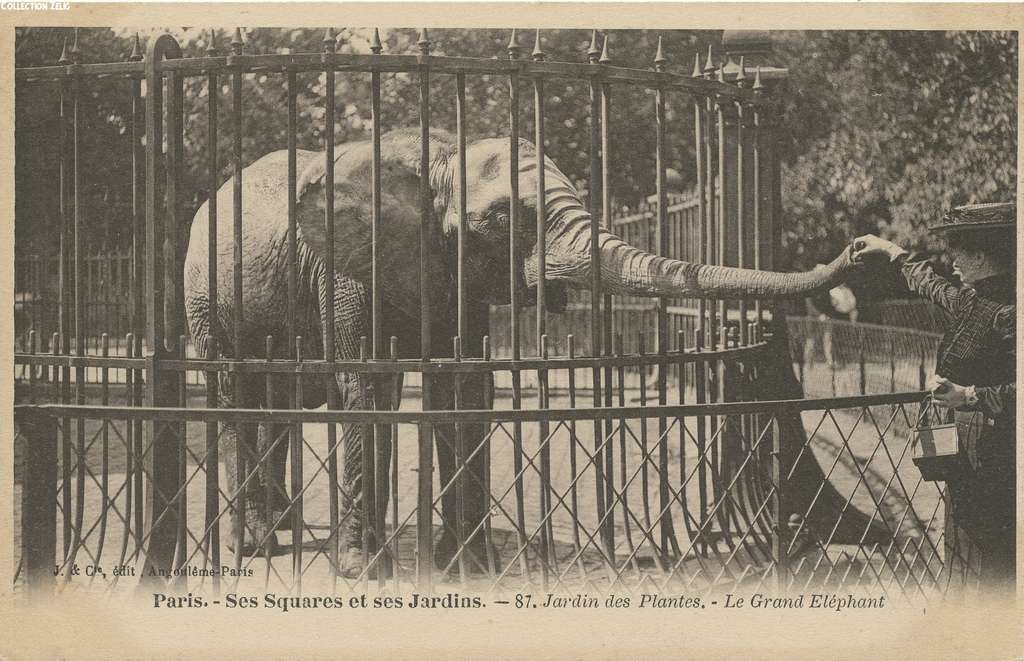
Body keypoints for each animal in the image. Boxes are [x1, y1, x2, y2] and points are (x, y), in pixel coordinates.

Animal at [184, 126, 856, 577]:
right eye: (504, 220)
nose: (861, 248)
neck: (434, 157)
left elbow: (464, 388)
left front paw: (471, 564)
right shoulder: (344, 270)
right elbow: (365, 387)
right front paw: (361, 571)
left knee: (276, 408)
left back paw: (280, 530)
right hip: (203, 297)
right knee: (237, 396)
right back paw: (253, 545)